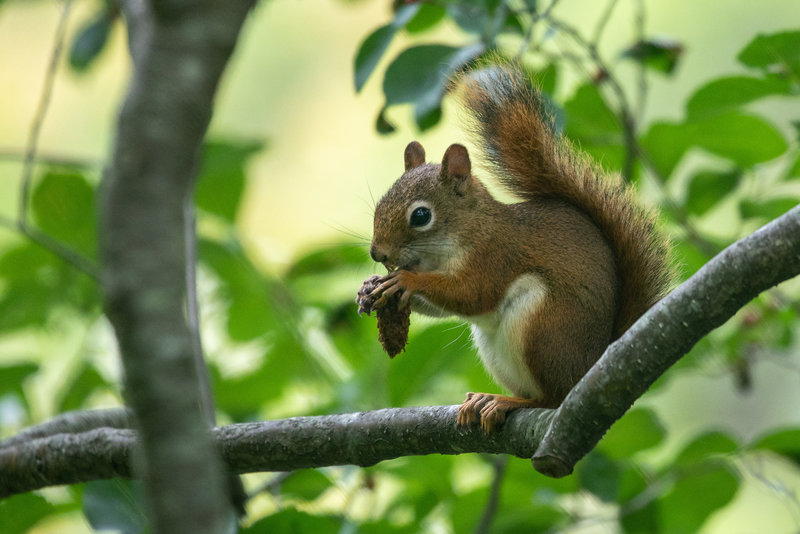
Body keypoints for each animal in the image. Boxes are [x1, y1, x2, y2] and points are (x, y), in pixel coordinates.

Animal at [360, 66, 668, 436]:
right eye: (381, 202)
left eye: (421, 216)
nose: (378, 254)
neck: (466, 232)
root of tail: (593, 364)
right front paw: (370, 288)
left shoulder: (497, 255)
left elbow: (472, 294)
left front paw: (406, 280)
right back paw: (486, 399)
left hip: (542, 327)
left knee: (553, 398)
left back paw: (510, 402)